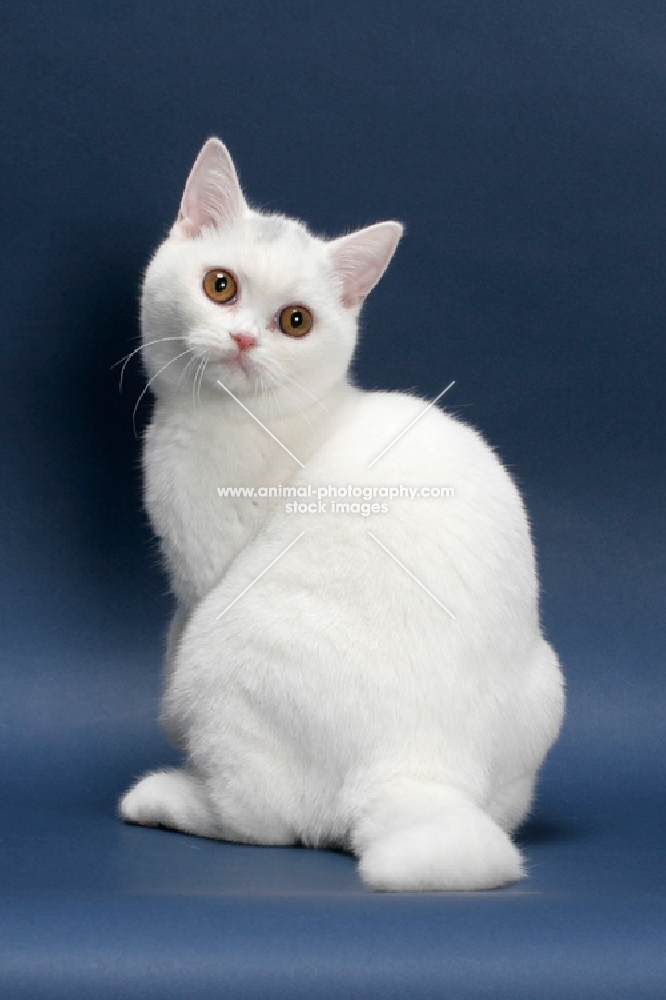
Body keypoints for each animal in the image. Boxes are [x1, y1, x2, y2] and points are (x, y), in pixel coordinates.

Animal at [118, 135, 560, 892]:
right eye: (220, 286)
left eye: (295, 322)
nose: (245, 341)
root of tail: (421, 766)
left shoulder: (199, 580)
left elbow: (173, 644)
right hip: (549, 683)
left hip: (225, 639)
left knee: (259, 819)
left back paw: (165, 795)